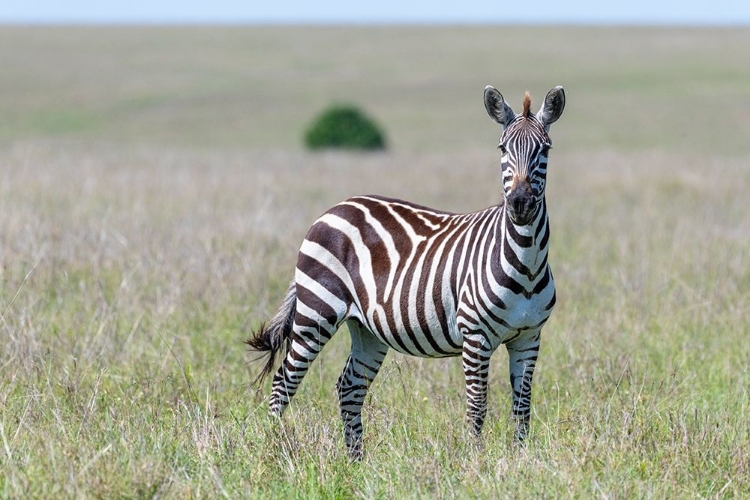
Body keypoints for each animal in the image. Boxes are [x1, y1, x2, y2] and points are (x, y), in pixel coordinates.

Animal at [247, 84, 564, 458]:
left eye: (545, 149)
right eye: (502, 148)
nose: (520, 204)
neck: (526, 263)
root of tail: (335, 207)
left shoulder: (529, 337)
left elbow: (522, 406)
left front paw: (520, 459)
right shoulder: (475, 334)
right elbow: (477, 404)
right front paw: (476, 461)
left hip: (366, 330)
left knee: (349, 387)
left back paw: (356, 460)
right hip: (316, 313)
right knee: (284, 381)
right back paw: (273, 450)